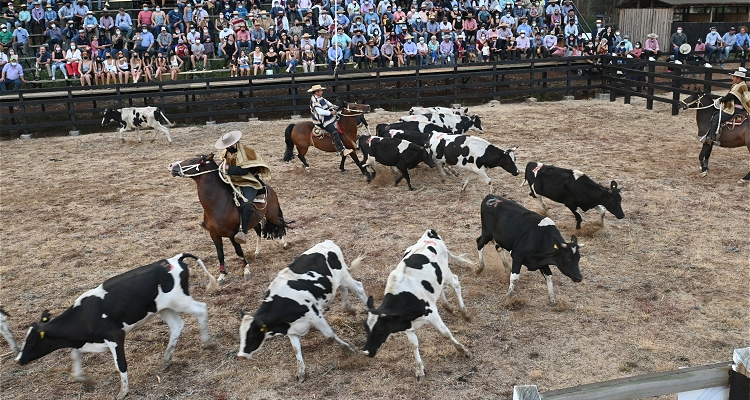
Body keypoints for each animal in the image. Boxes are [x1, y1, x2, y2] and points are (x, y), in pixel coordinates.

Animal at [15, 255, 217, 398]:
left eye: (31, 341)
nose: (18, 359)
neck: (85, 315)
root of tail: (174, 259)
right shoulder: (90, 342)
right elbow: (75, 354)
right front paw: (82, 377)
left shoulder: (115, 337)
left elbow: (121, 364)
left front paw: (123, 392)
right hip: (164, 308)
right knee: (177, 325)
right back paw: (166, 359)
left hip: (180, 301)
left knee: (201, 309)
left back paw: (208, 343)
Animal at [170, 153, 290, 284]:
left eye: (192, 160)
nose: (172, 166)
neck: (218, 203)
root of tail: (270, 189)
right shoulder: (214, 234)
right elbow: (220, 254)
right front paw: (221, 276)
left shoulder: (233, 234)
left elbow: (238, 251)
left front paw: (246, 270)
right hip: (253, 220)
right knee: (259, 228)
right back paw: (258, 251)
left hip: (272, 215)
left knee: (280, 223)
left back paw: (284, 243)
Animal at [238, 241, 368, 382]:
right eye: (241, 335)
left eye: (252, 335)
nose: (241, 356)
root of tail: (328, 242)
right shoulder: (291, 329)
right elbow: (296, 349)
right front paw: (301, 372)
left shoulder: (315, 315)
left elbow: (330, 335)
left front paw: (348, 349)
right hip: (337, 282)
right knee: (344, 290)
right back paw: (350, 309)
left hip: (345, 277)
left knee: (359, 288)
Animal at [362, 228, 472, 382]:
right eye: (366, 328)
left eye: (379, 330)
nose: (366, 352)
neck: (404, 297)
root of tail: (430, 233)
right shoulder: (406, 325)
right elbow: (414, 344)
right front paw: (420, 370)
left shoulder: (432, 315)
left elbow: (445, 333)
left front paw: (464, 350)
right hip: (437, 279)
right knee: (440, 289)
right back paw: (448, 306)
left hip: (446, 273)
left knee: (455, 283)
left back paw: (464, 312)